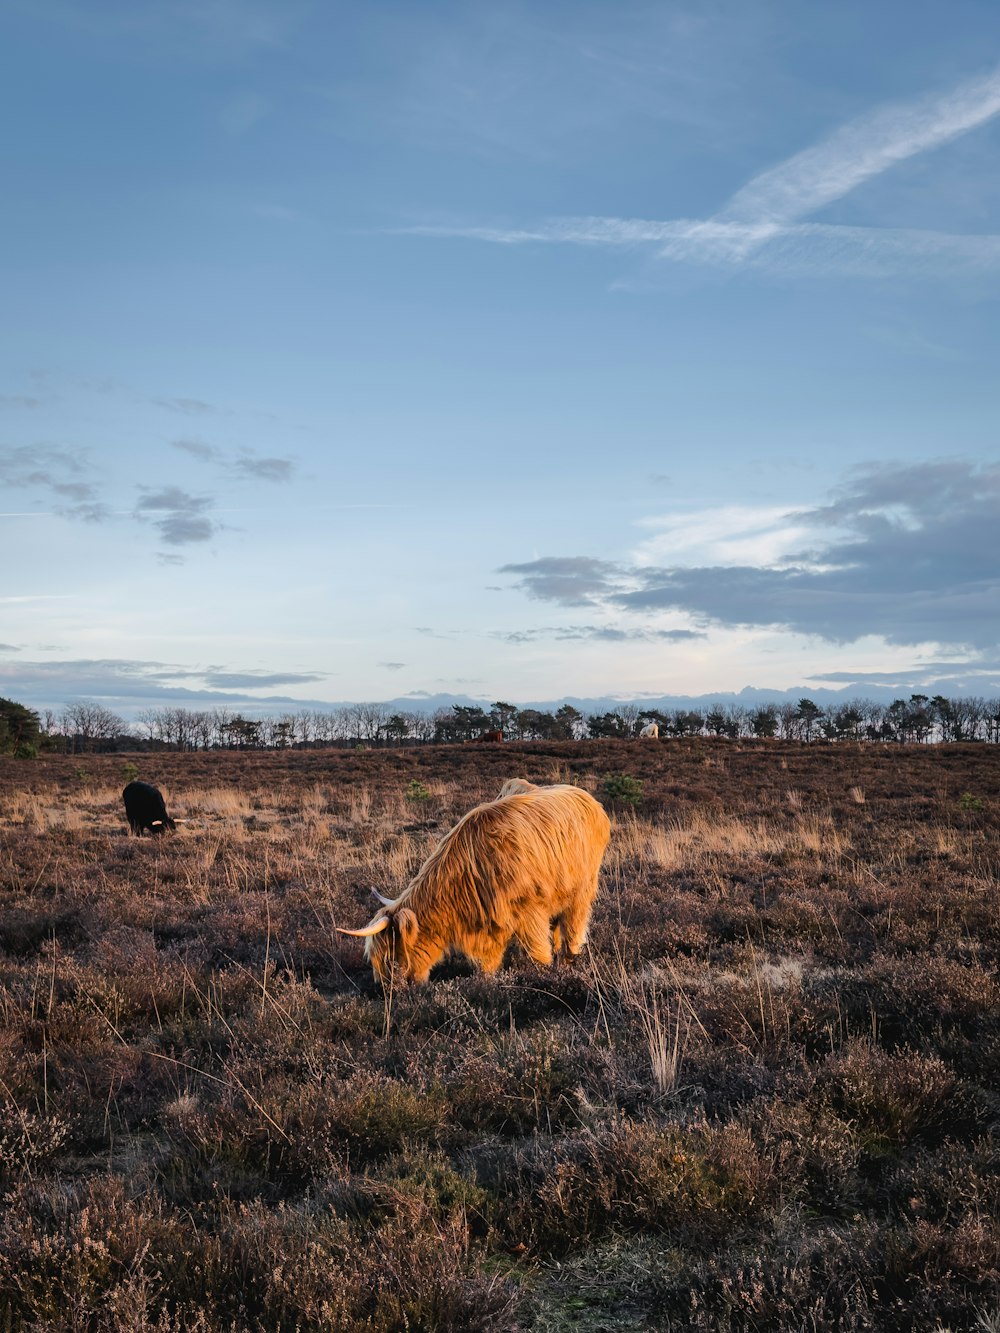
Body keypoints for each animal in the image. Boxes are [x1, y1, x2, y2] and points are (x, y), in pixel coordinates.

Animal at [341, 778, 616, 986]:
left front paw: (545, 977)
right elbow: (489, 963)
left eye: (391, 956)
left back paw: (569, 961)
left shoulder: (530, 911)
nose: (389, 991)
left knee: (573, 926)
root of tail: (589, 799)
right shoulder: (488, 924)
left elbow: (538, 952)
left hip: (582, 889)